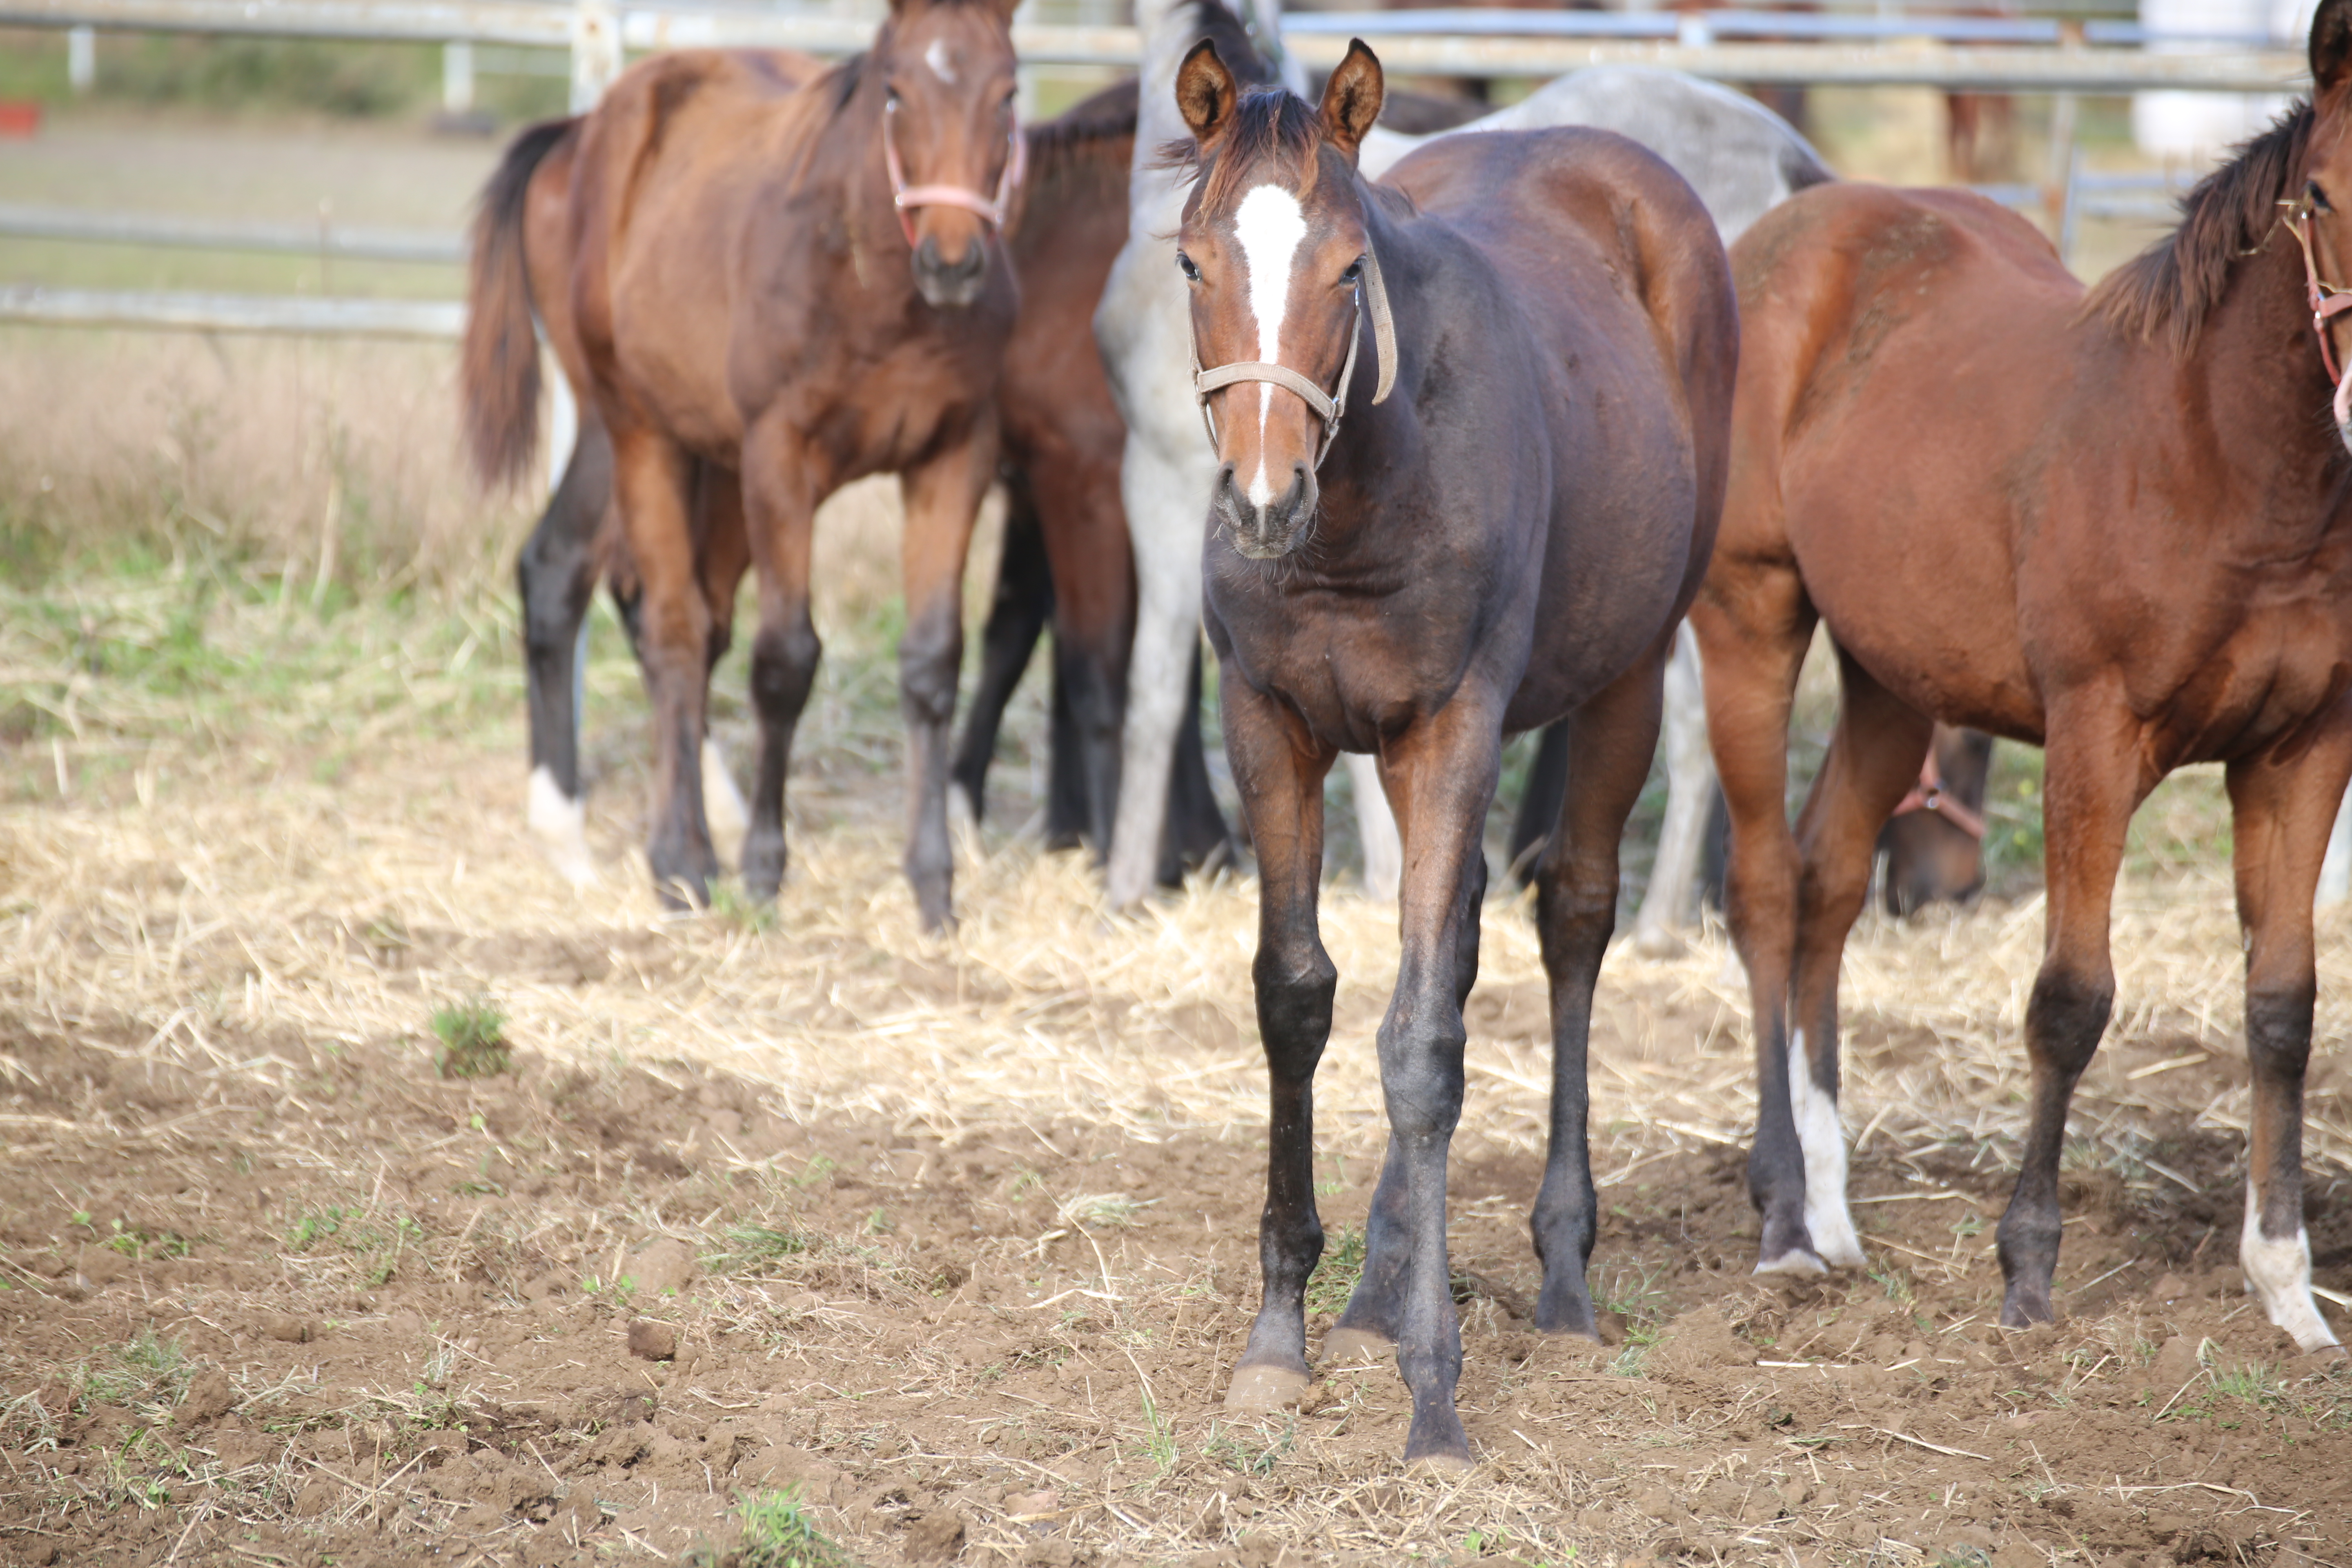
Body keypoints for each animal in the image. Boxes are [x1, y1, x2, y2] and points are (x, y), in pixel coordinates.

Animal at [463, 0, 1025, 926]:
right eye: (896, 92)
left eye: (1008, 94)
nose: (954, 262)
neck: (873, 289)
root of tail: (581, 134)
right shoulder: (780, 462)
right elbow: (785, 662)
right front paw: (764, 869)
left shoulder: (955, 458)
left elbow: (932, 663)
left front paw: (933, 885)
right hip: (637, 427)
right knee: (668, 623)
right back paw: (675, 858)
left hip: (701, 457)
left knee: (607, 586)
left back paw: (608, 831)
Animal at [1703, 0, 2352, 1354]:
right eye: (2319, 192)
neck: (2221, 454)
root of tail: (1792, 231)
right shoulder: (2097, 736)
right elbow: (2071, 998)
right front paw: (2029, 1271)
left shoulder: (2305, 748)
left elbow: (2283, 1005)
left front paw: (2288, 1289)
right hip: (1750, 620)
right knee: (1766, 891)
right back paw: (1784, 1218)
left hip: (1893, 676)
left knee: (1828, 878)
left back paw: (1834, 1212)